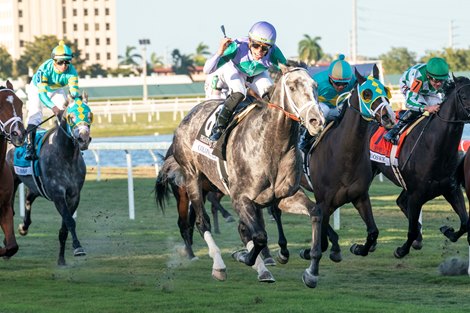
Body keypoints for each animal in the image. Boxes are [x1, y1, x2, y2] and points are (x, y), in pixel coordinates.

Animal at [6, 94, 92, 264]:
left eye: (89, 115)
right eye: (71, 117)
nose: (83, 138)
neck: (66, 156)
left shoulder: (74, 195)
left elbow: (64, 227)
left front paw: (61, 260)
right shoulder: (58, 194)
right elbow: (69, 221)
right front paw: (78, 247)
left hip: (35, 186)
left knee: (28, 200)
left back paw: (24, 227)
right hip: (12, 181)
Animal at [167, 64, 324, 286]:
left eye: (315, 86)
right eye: (292, 87)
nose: (316, 121)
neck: (272, 144)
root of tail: (189, 115)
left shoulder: (285, 196)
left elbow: (316, 213)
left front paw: (311, 272)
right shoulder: (240, 198)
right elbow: (259, 236)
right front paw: (242, 256)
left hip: (210, 184)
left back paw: (262, 269)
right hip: (192, 178)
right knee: (202, 221)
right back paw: (219, 265)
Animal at [370, 75, 470, 258]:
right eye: (464, 96)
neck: (434, 147)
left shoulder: (451, 188)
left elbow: (465, 223)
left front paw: (447, 231)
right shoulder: (416, 194)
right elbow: (410, 230)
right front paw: (401, 250)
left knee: (400, 202)